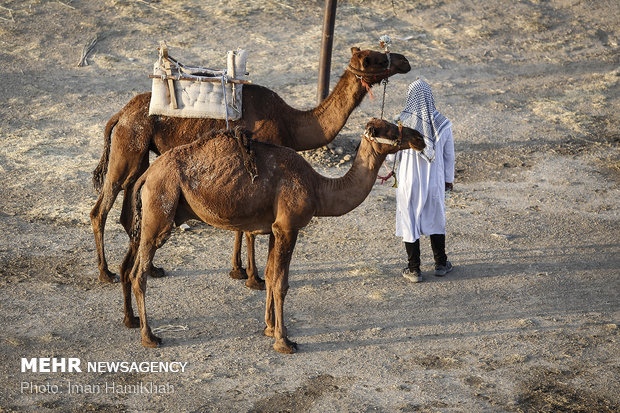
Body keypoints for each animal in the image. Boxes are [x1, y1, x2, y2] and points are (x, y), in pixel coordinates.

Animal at [91, 46, 412, 286]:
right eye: (375, 59)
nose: (405, 61)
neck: (292, 123)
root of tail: (119, 114)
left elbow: (241, 226)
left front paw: (238, 270)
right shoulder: (258, 160)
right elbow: (248, 231)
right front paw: (253, 278)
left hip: (139, 154)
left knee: (130, 203)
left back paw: (152, 268)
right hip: (129, 144)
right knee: (102, 207)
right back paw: (106, 273)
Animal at [118, 117, 424, 352]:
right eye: (388, 130)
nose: (419, 137)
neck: (317, 187)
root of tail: (147, 175)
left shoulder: (275, 228)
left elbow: (270, 275)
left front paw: (269, 328)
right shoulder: (289, 227)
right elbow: (281, 283)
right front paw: (284, 341)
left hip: (150, 216)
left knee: (131, 267)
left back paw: (133, 322)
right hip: (160, 210)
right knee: (139, 273)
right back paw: (150, 336)